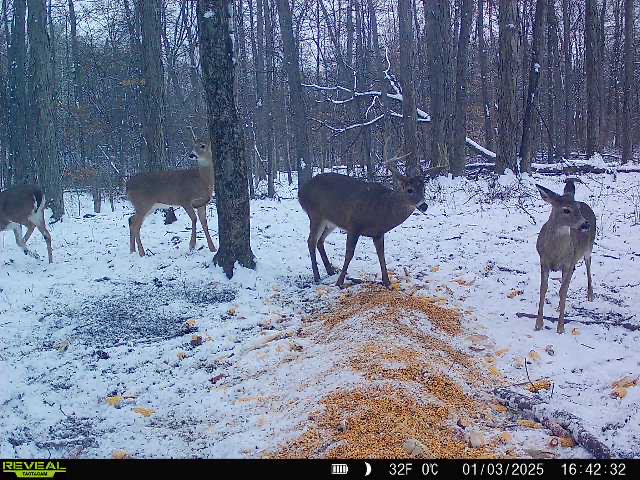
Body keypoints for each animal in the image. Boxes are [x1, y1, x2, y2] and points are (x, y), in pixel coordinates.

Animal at [298, 142, 428, 286]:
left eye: (423, 188)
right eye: (410, 190)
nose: (424, 206)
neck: (382, 210)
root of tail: (301, 191)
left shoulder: (378, 233)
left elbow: (381, 255)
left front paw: (387, 282)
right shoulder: (353, 225)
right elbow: (349, 254)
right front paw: (339, 282)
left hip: (331, 222)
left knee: (320, 241)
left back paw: (330, 271)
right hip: (315, 214)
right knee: (311, 241)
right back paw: (317, 277)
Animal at [536, 180, 596, 334]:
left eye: (577, 208)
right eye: (566, 210)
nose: (585, 224)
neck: (555, 253)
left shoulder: (568, 263)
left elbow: (563, 292)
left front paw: (560, 327)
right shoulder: (543, 261)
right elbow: (543, 288)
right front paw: (538, 324)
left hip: (588, 247)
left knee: (588, 265)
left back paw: (590, 295)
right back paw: (558, 307)